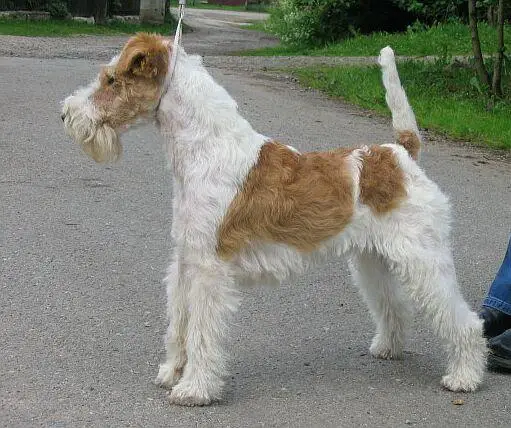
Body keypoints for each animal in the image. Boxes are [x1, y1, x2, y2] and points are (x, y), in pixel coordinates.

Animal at [62, 33, 486, 404]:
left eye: (111, 79)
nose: (65, 113)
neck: (206, 150)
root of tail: (401, 152)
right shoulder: (185, 260)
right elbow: (179, 324)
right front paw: (171, 372)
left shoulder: (209, 270)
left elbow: (201, 333)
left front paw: (194, 389)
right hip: (374, 260)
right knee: (394, 306)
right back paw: (387, 348)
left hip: (423, 258)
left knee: (464, 321)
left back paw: (464, 377)